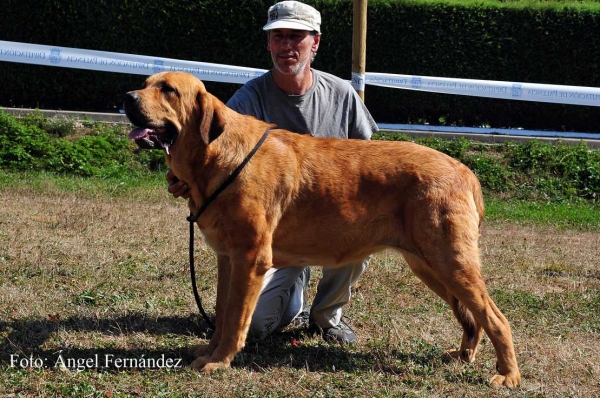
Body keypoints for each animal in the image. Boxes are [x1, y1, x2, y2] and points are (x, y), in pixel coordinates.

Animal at [125, 70, 520, 388]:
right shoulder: (228, 260)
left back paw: (508, 375)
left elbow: (236, 319)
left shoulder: (250, 261)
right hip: (429, 266)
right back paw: (463, 355)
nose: (127, 98)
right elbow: (222, 314)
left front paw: (220, 361)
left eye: (168, 90)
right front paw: (209, 351)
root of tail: (464, 170)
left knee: (495, 318)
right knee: (473, 318)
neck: (212, 157)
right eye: (146, 83)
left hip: (451, 263)